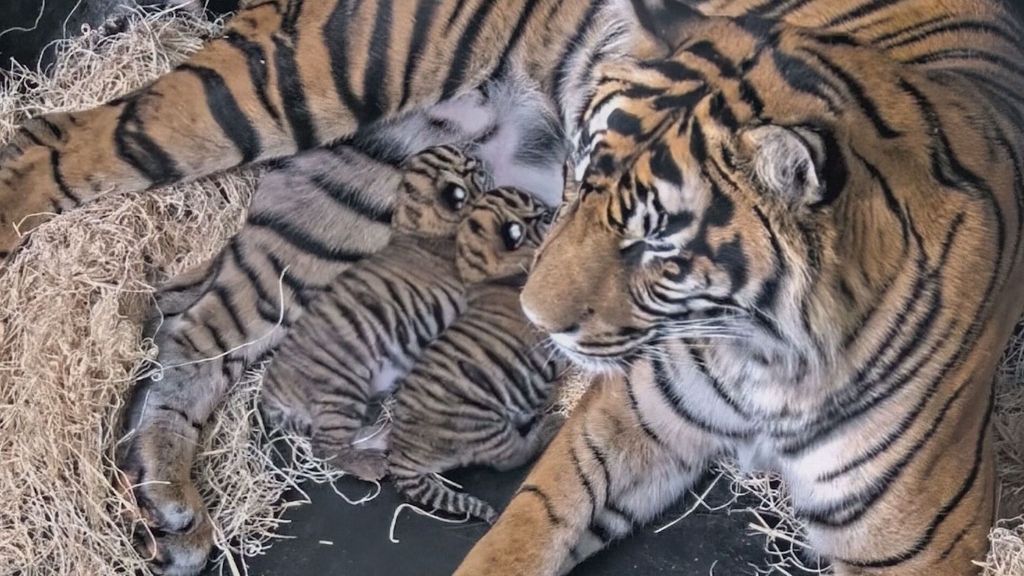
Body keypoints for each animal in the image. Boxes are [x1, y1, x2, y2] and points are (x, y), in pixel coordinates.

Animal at [0, 0, 1015, 569]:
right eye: (578, 176)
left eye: (657, 245)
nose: (534, 317)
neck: (764, 354)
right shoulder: (630, 420)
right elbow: (522, 533)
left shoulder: (913, 536)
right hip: (284, 81)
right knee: (53, 143)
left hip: (334, 206)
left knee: (191, 329)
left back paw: (169, 501)